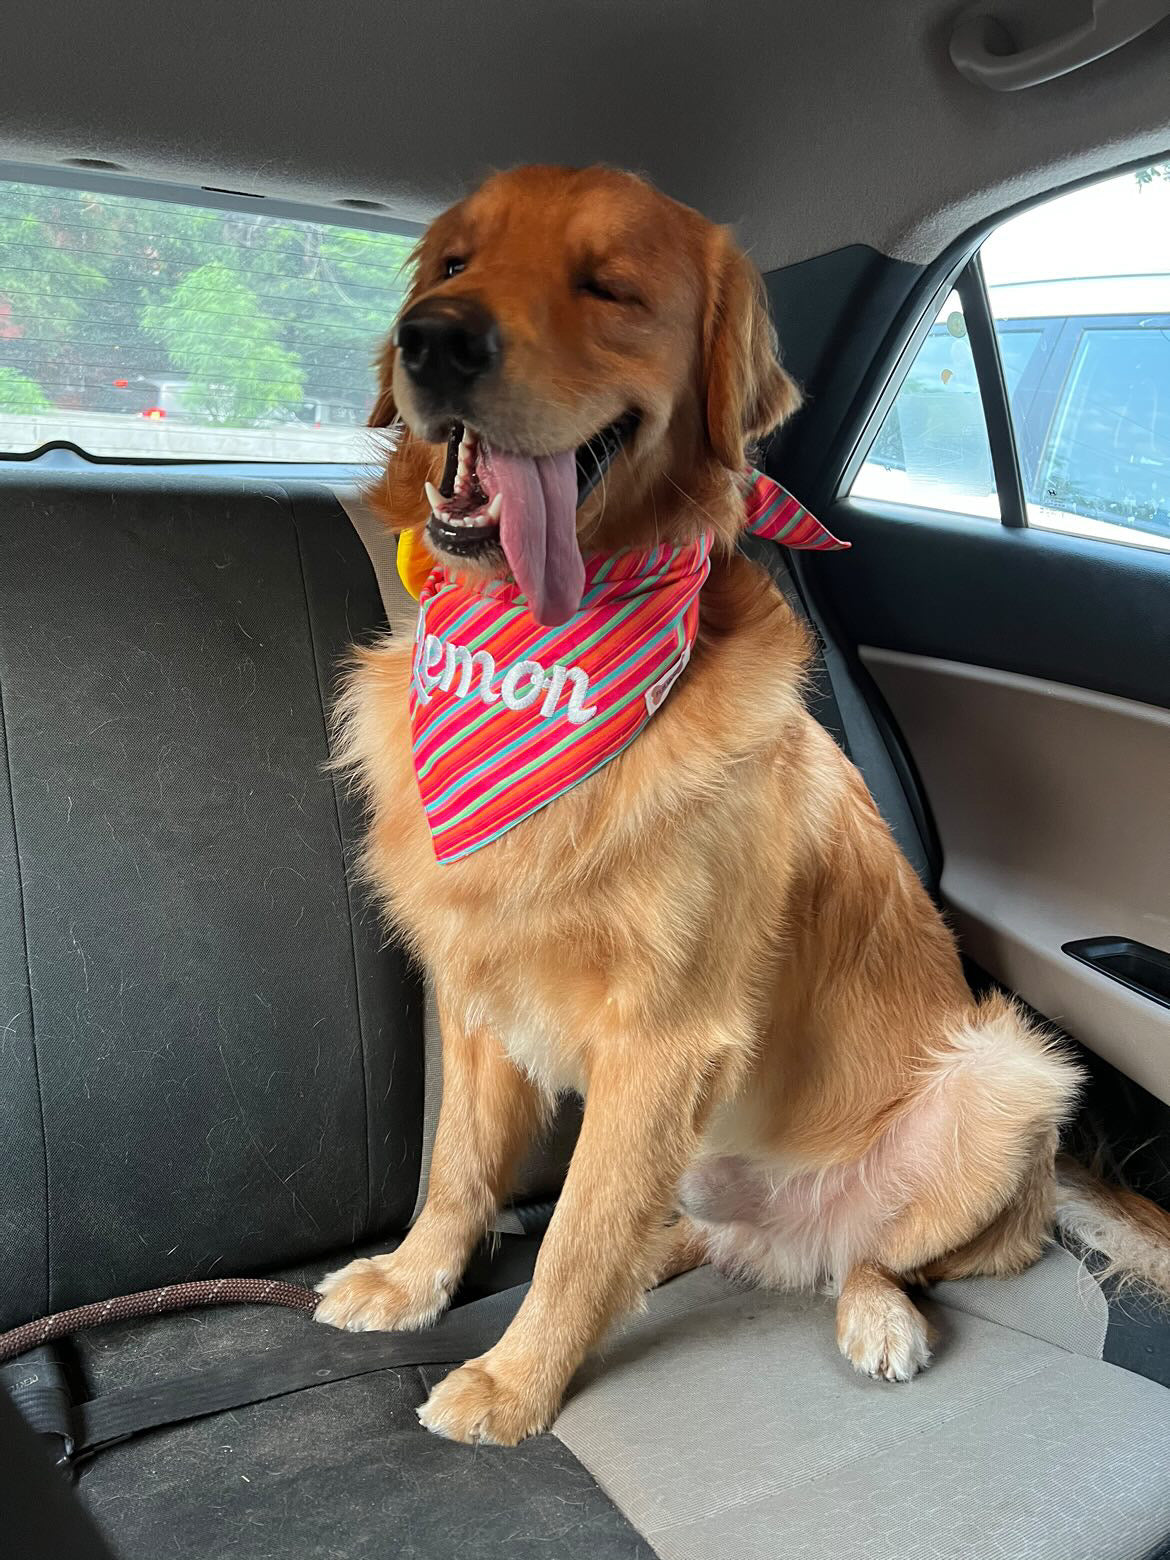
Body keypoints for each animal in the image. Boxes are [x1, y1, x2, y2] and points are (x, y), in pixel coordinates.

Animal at [313, 164, 1166, 1441]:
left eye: (610, 286)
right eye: (453, 264)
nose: (434, 340)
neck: (540, 647)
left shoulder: (664, 1038)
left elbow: (574, 1238)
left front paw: (516, 1382)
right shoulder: (475, 987)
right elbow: (462, 1169)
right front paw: (417, 1282)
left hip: (1005, 1077)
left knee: (876, 1257)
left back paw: (877, 1315)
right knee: (680, 1234)